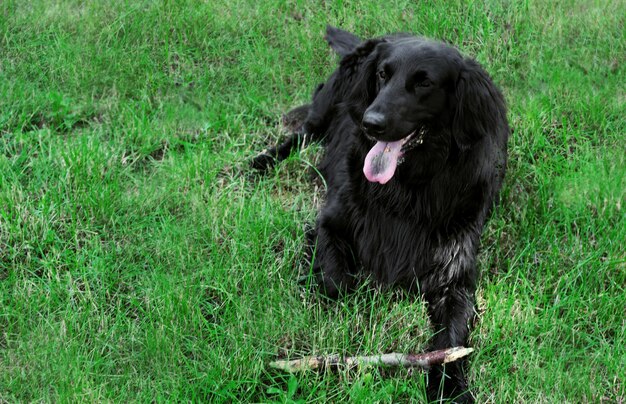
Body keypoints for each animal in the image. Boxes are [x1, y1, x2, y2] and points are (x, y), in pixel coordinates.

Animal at [252, 26, 508, 402]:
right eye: (383, 75)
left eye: (424, 83)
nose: (370, 123)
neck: (407, 189)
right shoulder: (330, 224)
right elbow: (337, 285)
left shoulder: (455, 275)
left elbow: (451, 340)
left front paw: (451, 388)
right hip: (325, 108)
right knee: (301, 134)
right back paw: (258, 164)